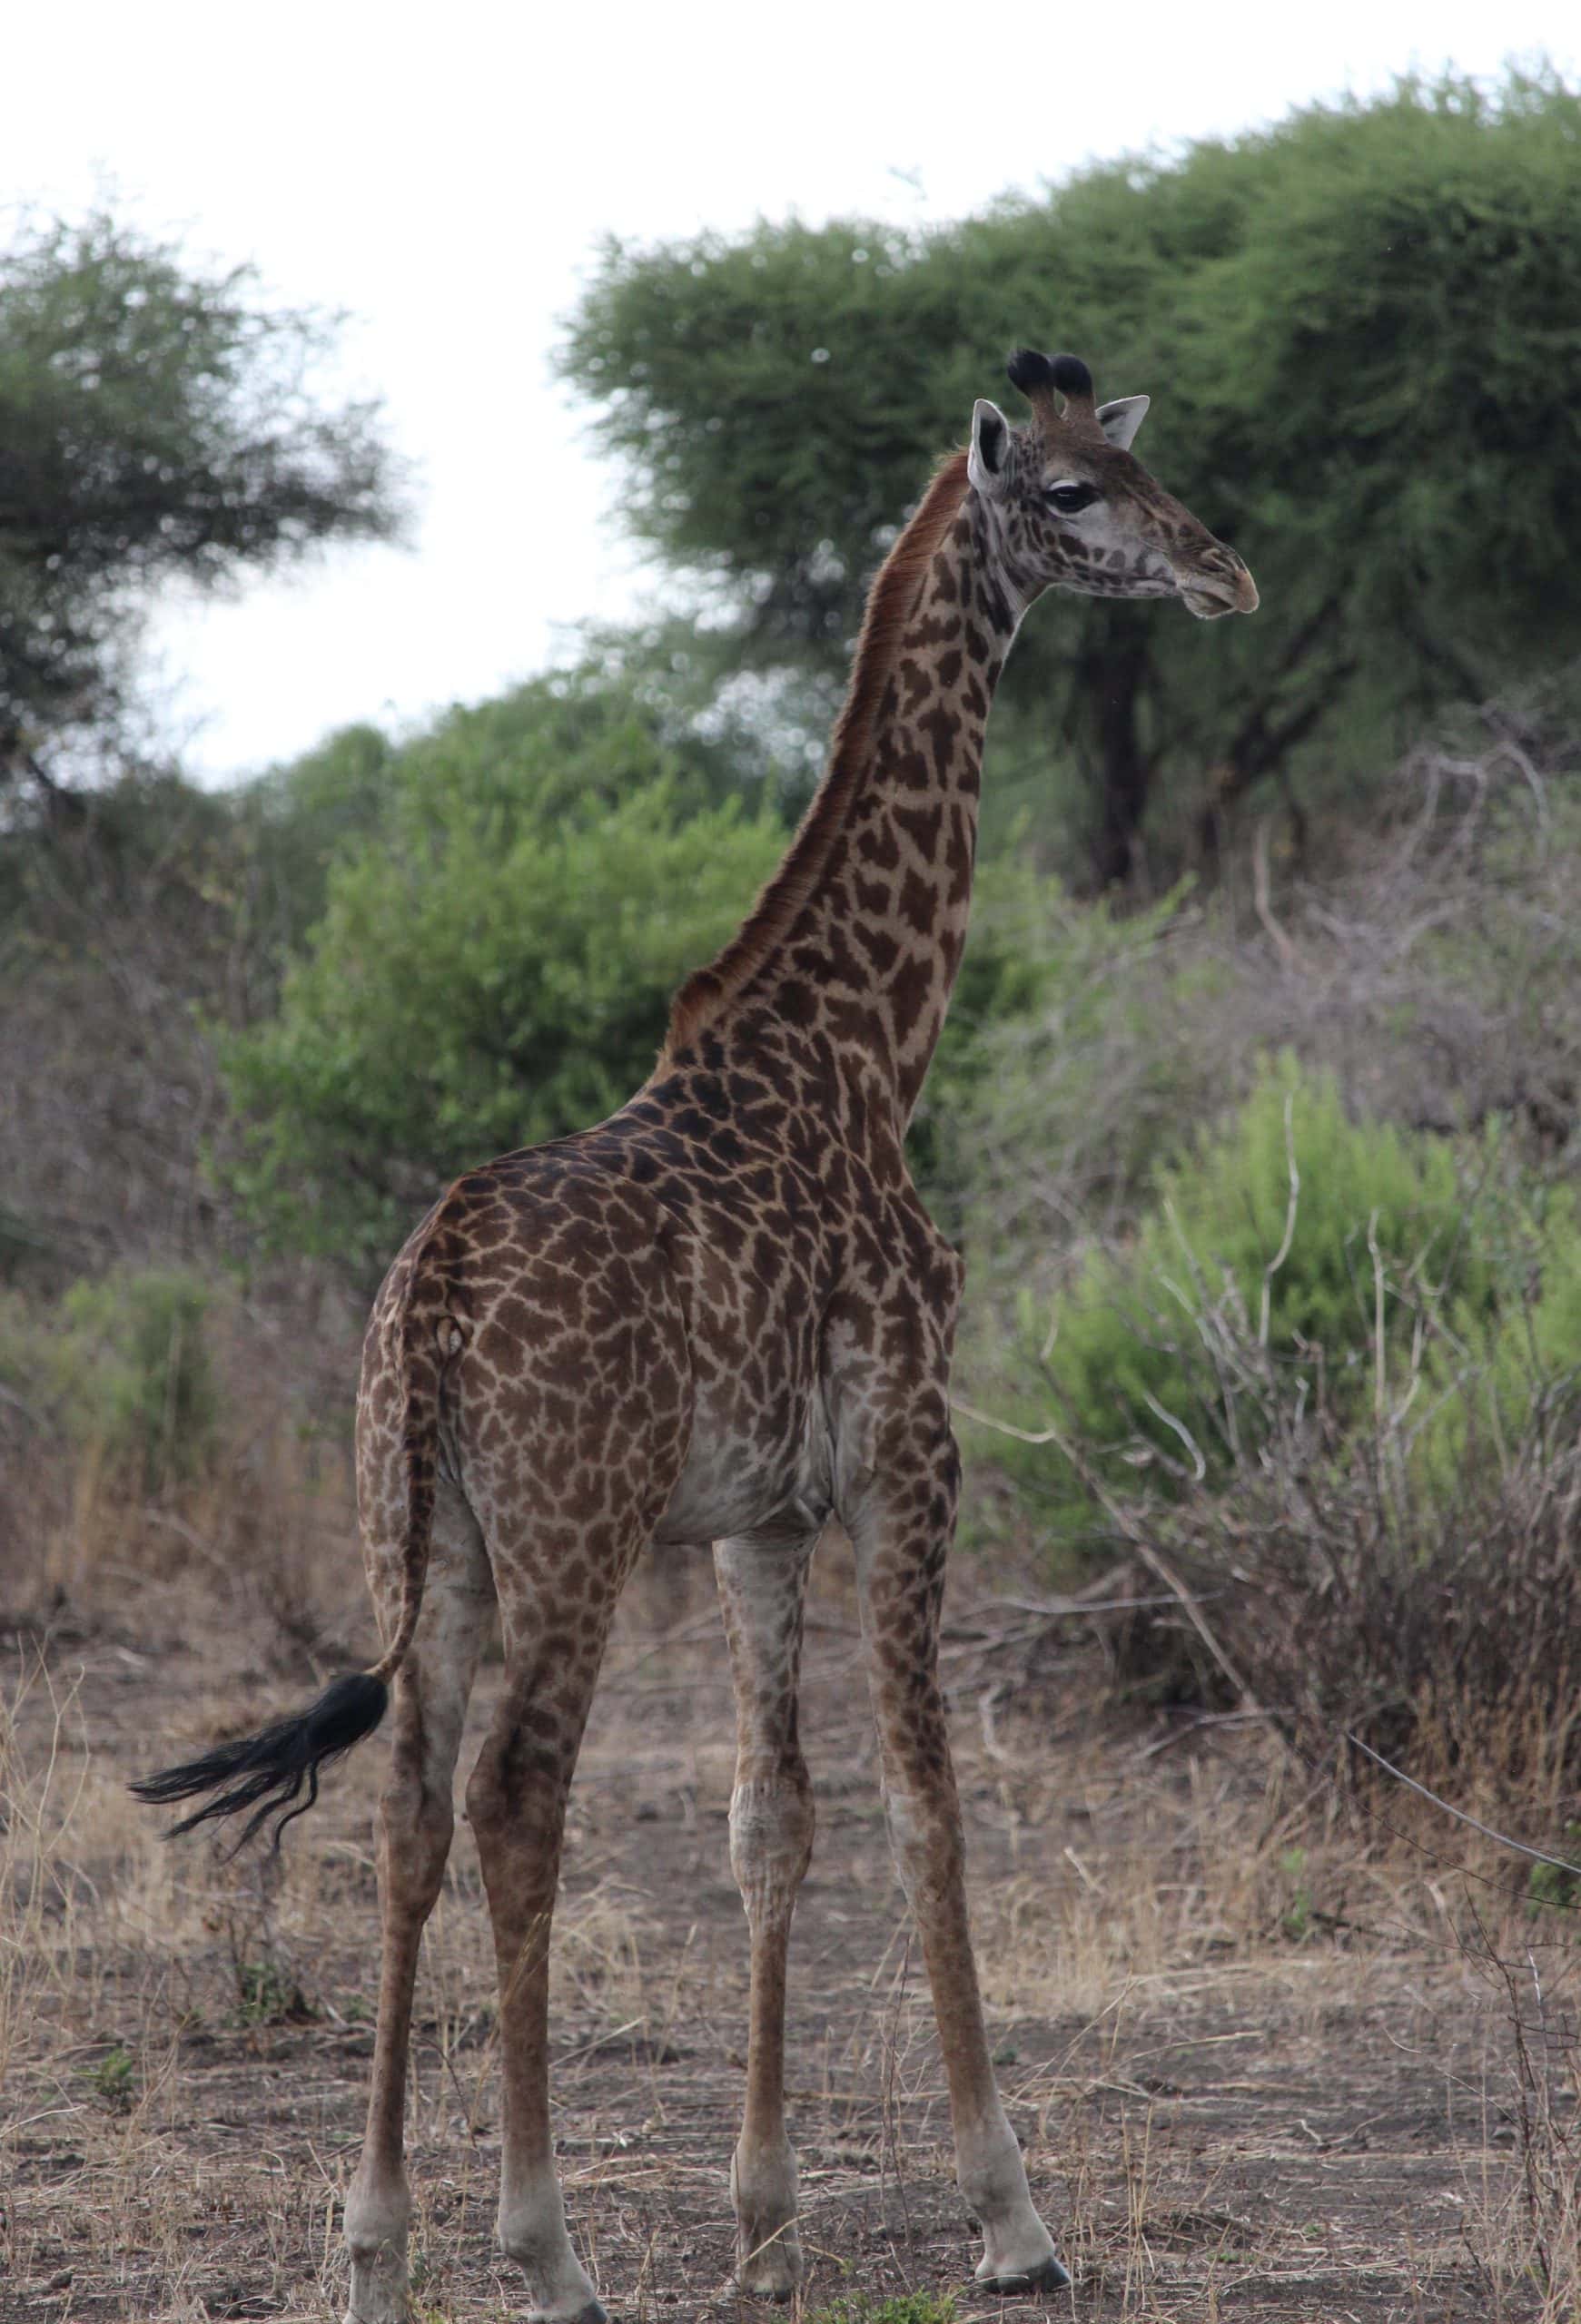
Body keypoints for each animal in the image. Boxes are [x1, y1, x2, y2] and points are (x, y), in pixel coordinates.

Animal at [133, 346, 1257, 2323]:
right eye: (1067, 492)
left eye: (1138, 462)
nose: (1222, 572)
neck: (869, 1046)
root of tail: (434, 1286)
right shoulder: (912, 1449)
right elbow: (926, 1795)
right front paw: (1008, 2213)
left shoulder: (758, 1520)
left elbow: (769, 1819)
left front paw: (764, 2214)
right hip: (574, 1529)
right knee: (518, 1792)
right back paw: (544, 2243)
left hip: (418, 1526)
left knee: (409, 1803)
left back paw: (374, 2244)